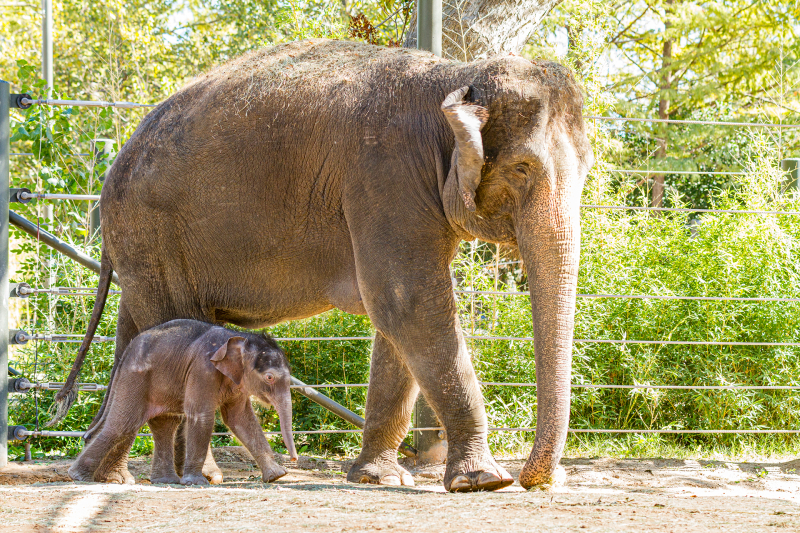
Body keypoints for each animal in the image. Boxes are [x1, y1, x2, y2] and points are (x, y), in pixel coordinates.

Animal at [68, 319, 297, 485]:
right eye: (269, 377)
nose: (294, 460)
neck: (239, 338)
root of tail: (125, 352)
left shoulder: (237, 381)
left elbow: (240, 419)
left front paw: (276, 476)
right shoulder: (202, 369)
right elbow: (202, 416)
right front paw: (196, 483)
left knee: (165, 424)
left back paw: (165, 481)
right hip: (134, 378)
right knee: (123, 425)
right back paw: (78, 477)